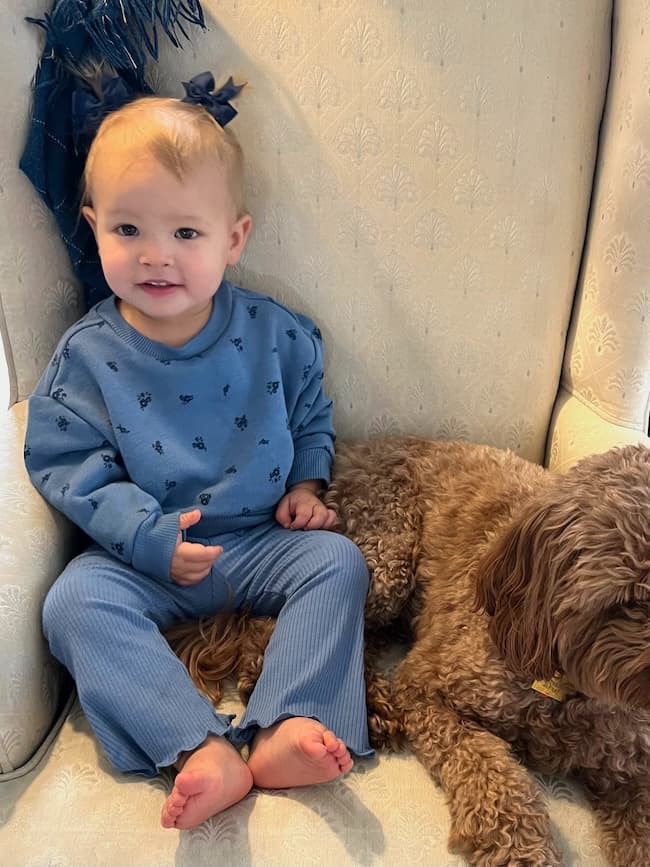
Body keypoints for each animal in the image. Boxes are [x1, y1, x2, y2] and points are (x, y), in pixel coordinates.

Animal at [166, 440, 648, 867]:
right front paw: (519, 850)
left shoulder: (634, 768)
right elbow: (491, 773)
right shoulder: (428, 687)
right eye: (631, 599)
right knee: (285, 623)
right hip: (384, 561)